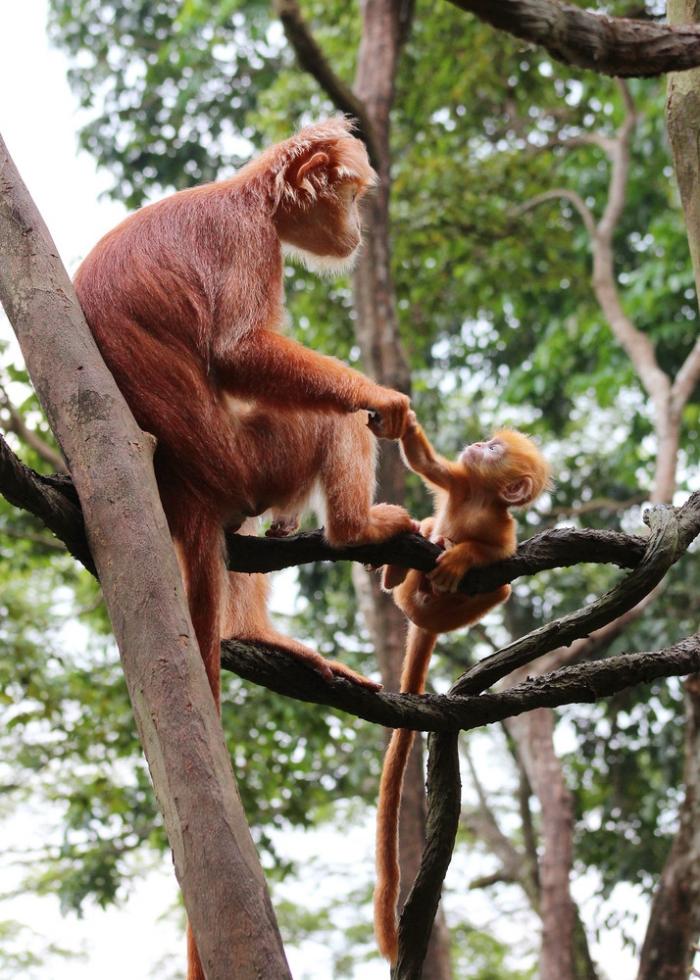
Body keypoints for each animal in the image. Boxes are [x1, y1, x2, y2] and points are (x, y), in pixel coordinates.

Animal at [75, 118, 416, 976]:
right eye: (350, 197)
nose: (356, 231)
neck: (244, 196)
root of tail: (187, 491)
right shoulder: (246, 241)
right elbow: (235, 351)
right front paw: (380, 396)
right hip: (250, 459)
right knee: (328, 422)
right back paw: (358, 526)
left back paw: (261, 626)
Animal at [374, 410, 548, 960]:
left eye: (495, 450)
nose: (479, 443)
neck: (479, 499)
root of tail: (419, 618)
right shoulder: (457, 481)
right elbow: (425, 464)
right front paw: (402, 420)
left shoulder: (502, 530)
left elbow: (493, 555)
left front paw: (463, 555)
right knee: (427, 535)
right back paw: (399, 567)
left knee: (501, 588)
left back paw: (439, 573)